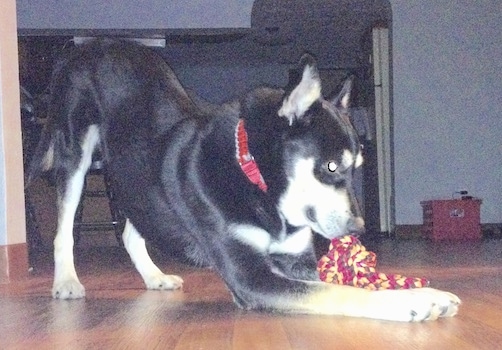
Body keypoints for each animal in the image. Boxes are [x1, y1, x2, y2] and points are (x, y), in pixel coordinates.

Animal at [26, 39, 458, 322]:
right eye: (332, 167)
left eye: (357, 165)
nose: (360, 227)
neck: (261, 185)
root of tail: (88, 46)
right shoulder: (250, 276)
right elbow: (339, 291)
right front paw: (415, 300)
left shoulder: (297, 260)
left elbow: (341, 285)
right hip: (75, 153)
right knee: (65, 228)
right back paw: (66, 281)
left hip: (136, 173)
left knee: (134, 227)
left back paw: (154, 276)